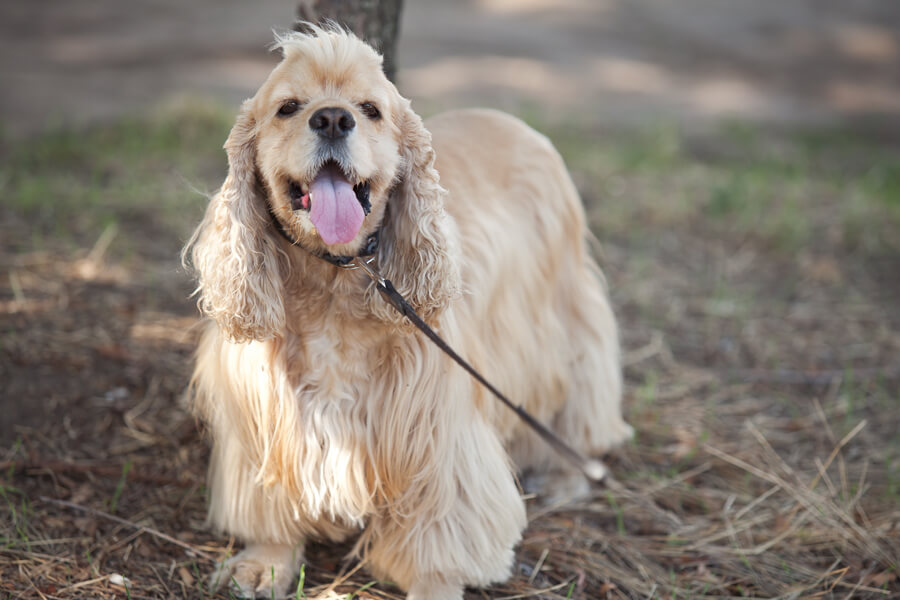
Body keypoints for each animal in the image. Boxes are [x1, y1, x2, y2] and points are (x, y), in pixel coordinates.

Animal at [185, 23, 632, 600]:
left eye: (371, 109)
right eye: (288, 107)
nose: (333, 119)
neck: (336, 280)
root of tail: (510, 118)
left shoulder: (439, 439)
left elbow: (439, 534)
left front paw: (433, 584)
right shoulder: (265, 420)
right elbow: (271, 505)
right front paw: (264, 561)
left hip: (567, 311)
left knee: (578, 401)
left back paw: (564, 475)